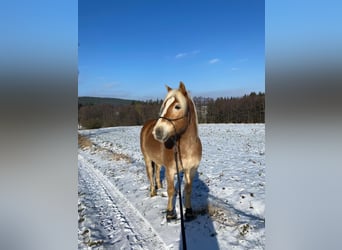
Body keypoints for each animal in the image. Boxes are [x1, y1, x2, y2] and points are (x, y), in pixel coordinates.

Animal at [140, 81, 202, 220]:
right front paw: (170, 213)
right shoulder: (170, 170)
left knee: (157, 171)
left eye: (177, 107)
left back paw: (159, 186)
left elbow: (188, 190)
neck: (187, 148)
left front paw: (189, 211)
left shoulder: (191, 170)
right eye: (164, 106)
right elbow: (171, 191)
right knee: (150, 174)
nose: (157, 132)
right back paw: (153, 192)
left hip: (157, 161)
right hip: (147, 159)